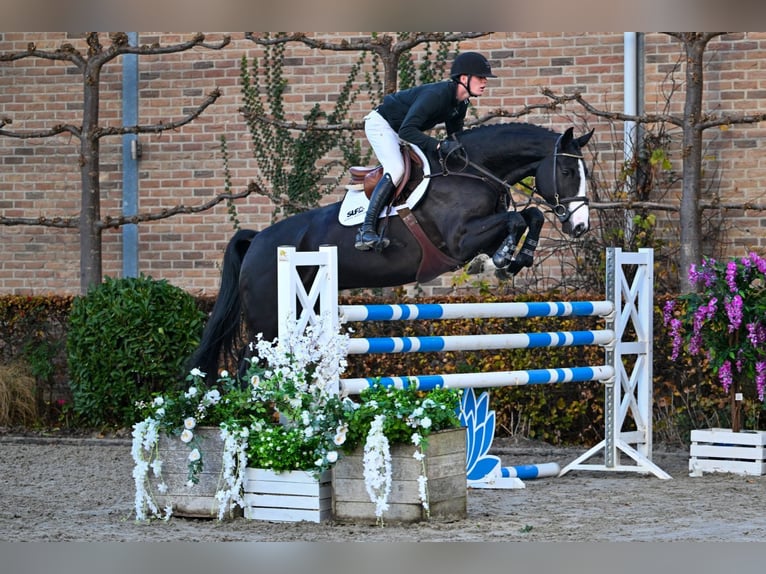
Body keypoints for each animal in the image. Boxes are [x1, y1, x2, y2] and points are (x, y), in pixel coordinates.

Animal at [188, 122, 594, 382]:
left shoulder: (480, 236)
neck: (473, 172)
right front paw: (508, 257)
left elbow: (529, 216)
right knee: (248, 369)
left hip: (303, 315)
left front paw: (517, 258)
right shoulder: (461, 241)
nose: (580, 227)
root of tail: (257, 241)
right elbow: (515, 218)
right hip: (269, 325)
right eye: (568, 171)